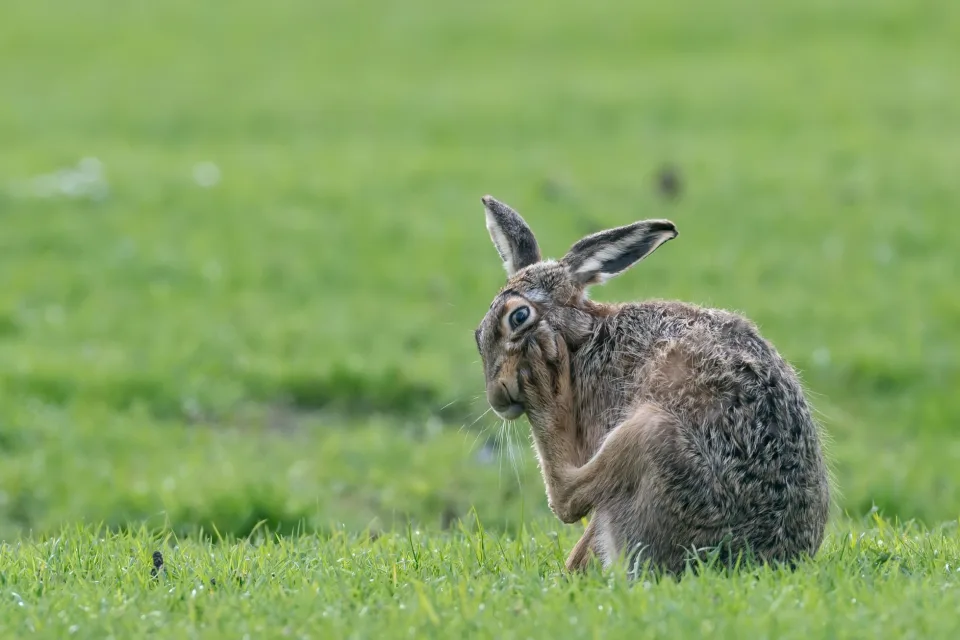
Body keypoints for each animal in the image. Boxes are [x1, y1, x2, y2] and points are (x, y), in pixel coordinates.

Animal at [474, 194, 831, 577]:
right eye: (478, 334)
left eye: (519, 317)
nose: (497, 399)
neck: (581, 337)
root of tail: (762, 559)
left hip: (652, 432)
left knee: (567, 499)